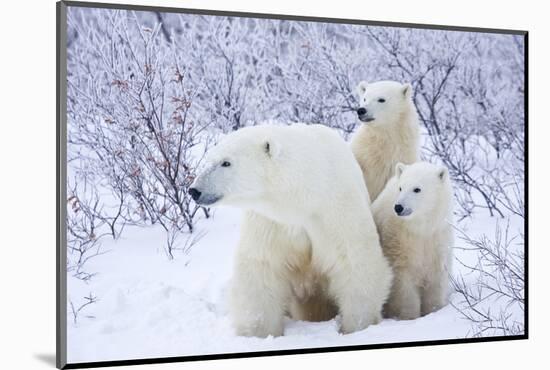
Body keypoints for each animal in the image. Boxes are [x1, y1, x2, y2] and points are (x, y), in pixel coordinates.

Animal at [190, 125, 392, 338]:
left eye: (226, 162)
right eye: (210, 159)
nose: (194, 190)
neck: (303, 199)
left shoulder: (335, 211)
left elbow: (355, 263)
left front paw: (358, 326)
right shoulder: (271, 223)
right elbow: (261, 268)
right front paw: (257, 333)